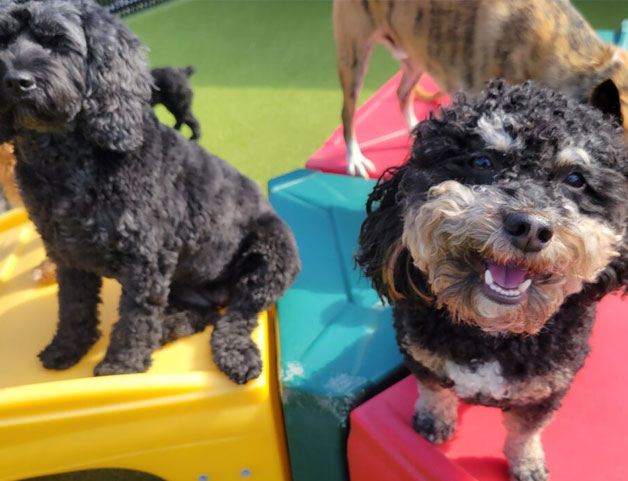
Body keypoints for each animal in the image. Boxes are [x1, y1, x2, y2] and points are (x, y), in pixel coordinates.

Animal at [0, 0, 300, 382]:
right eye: (2, 40)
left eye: (56, 42)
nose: (16, 81)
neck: (65, 163)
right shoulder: (66, 253)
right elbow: (73, 306)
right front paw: (67, 348)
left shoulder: (145, 258)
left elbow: (135, 318)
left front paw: (121, 367)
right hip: (183, 287)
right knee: (205, 316)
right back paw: (167, 330)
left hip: (273, 252)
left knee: (238, 316)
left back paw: (234, 355)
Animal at [358, 79, 628, 480]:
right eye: (483, 162)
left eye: (575, 180)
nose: (530, 228)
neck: (492, 333)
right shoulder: (420, 355)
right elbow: (433, 392)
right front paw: (434, 422)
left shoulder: (545, 389)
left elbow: (525, 432)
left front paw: (527, 464)